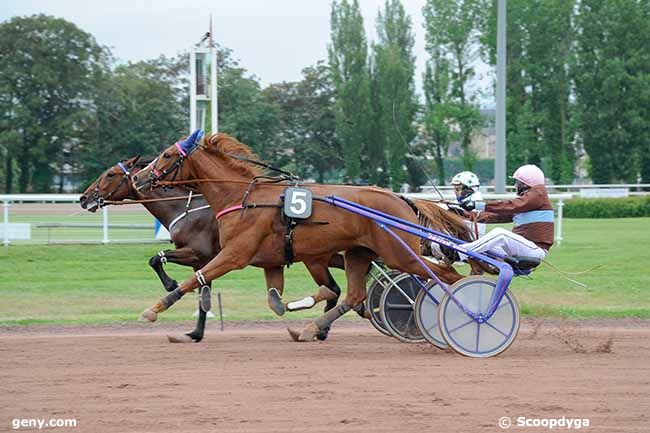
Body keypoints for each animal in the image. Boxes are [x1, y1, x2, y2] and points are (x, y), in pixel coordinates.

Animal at [78, 155, 344, 340]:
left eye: (110, 174)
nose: (83, 198)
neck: (184, 209)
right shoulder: (202, 261)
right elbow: (200, 292)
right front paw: (195, 332)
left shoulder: (198, 253)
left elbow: (157, 259)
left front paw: (171, 285)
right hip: (328, 255)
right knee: (338, 284)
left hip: (315, 257)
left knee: (334, 287)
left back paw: (321, 328)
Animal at [132, 130, 466, 340]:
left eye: (166, 156)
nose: (139, 177)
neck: (242, 198)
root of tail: (401, 198)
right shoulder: (271, 262)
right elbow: (275, 299)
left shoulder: (233, 255)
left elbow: (195, 277)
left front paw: (154, 309)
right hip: (358, 254)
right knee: (355, 294)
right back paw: (312, 328)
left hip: (399, 255)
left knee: (447, 277)